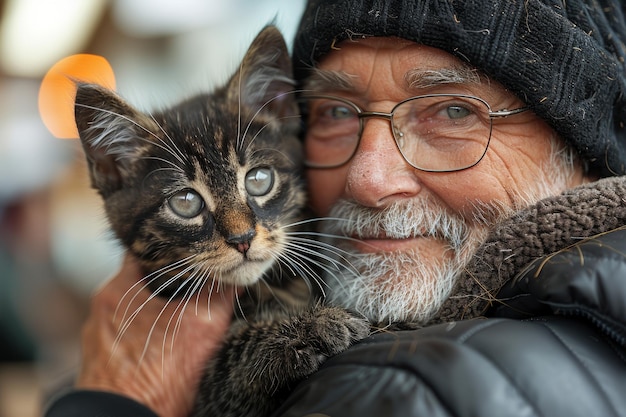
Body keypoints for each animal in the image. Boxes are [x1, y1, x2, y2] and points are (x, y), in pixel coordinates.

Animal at [73, 26, 368, 416]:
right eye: (185, 203)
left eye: (259, 179)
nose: (242, 238)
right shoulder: (206, 400)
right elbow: (228, 364)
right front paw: (312, 327)